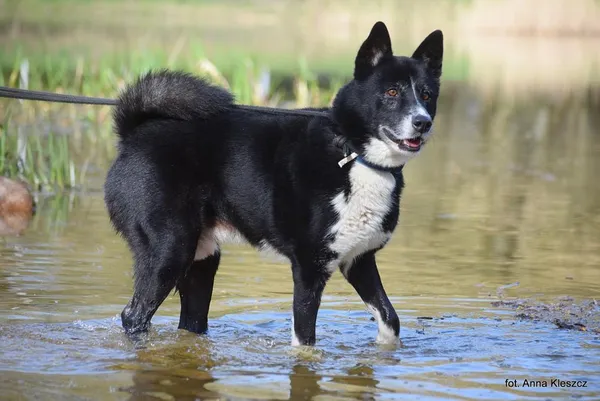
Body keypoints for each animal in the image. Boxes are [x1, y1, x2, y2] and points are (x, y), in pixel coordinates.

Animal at [103, 21, 442, 346]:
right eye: (392, 92)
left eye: (426, 95)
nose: (423, 123)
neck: (352, 153)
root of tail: (134, 133)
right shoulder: (309, 269)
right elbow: (305, 340)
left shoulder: (358, 261)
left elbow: (390, 320)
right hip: (169, 250)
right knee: (134, 315)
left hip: (202, 259)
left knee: (189, 322)